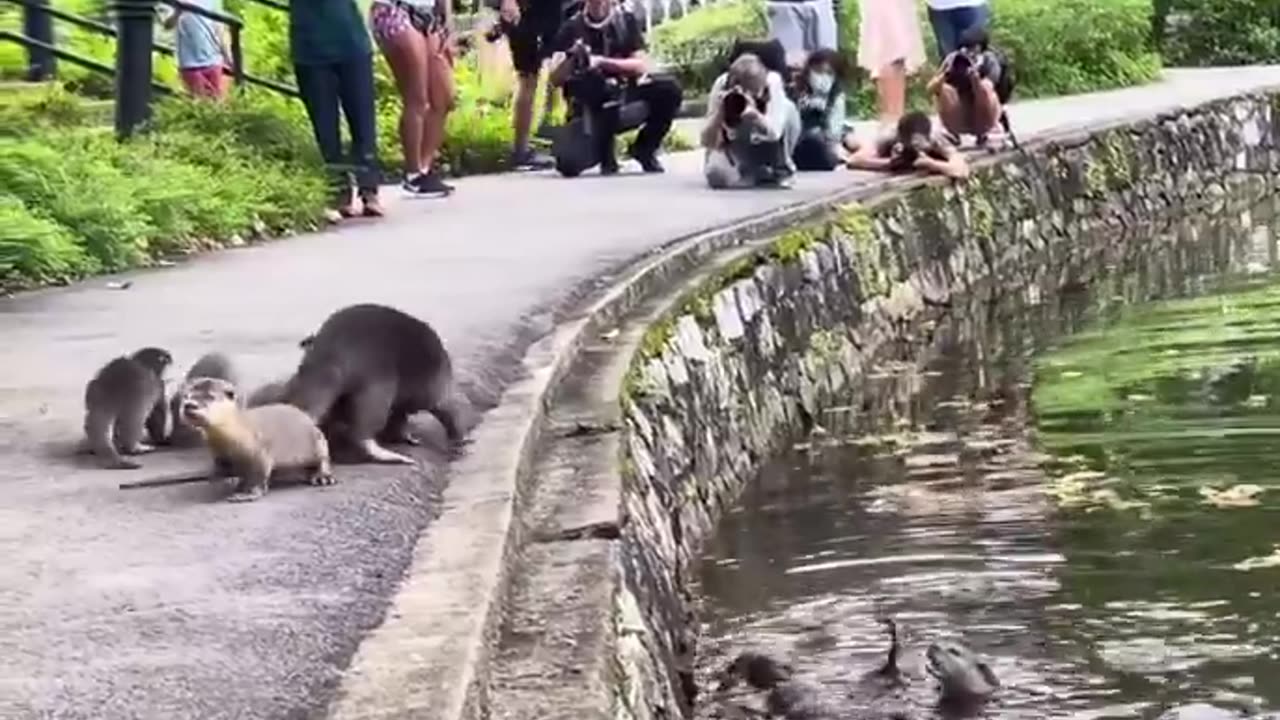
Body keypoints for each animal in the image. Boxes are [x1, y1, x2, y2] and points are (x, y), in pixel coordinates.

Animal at [179, 377, 334, 502]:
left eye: (210, 397)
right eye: (187, 396)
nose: (189, 405)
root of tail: (307, 416)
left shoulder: (260, 453)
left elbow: (257, 476)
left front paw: (246, 494)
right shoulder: (219, 454)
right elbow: (220, 469)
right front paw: (222, 480)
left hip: (317, 439)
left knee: (323, 457)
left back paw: (323, 476)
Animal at [281, 303, 465, 465]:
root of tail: (332, 355)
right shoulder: (432, 386)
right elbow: (444, 408)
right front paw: (456, 437)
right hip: (377, 382)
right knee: (366, 423)